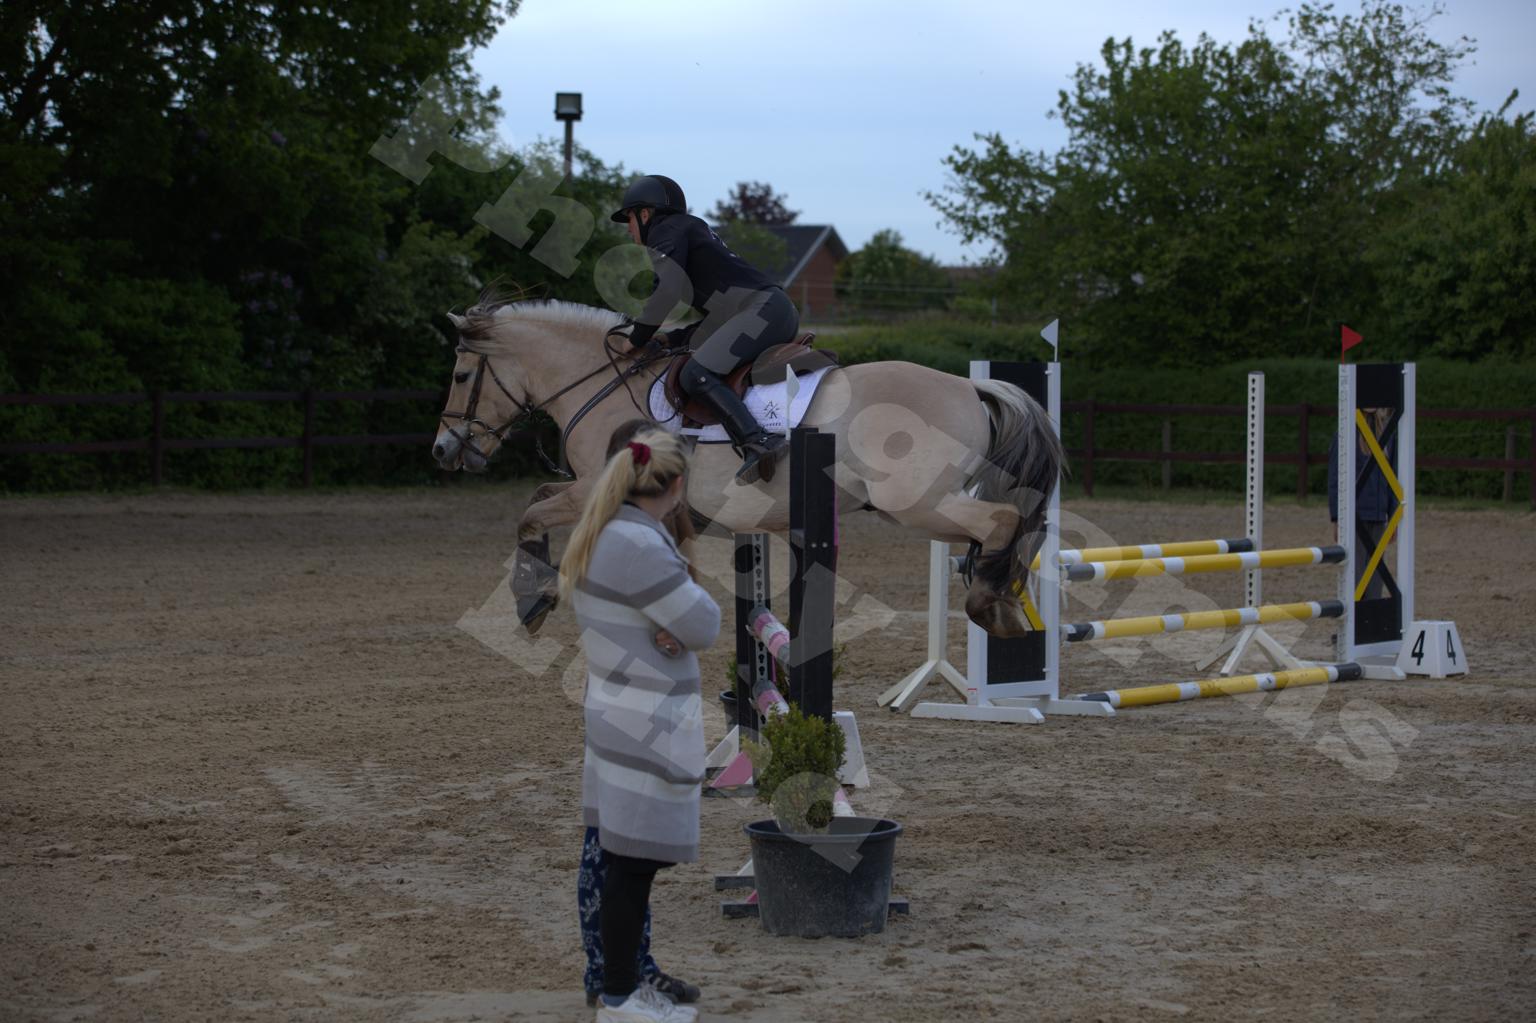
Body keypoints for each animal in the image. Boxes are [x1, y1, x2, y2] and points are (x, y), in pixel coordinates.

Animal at [431, 297, 1062, 639]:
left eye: (460, 376)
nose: (442, 449)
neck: (600, 382)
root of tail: (971, 385)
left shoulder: (597, 489)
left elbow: (531, 513)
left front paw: (532, 600)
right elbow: (539, 498)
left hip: (916, 504)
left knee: (1003, 521)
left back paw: (992, 604)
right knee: (1013, 527)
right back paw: (1004, 599)